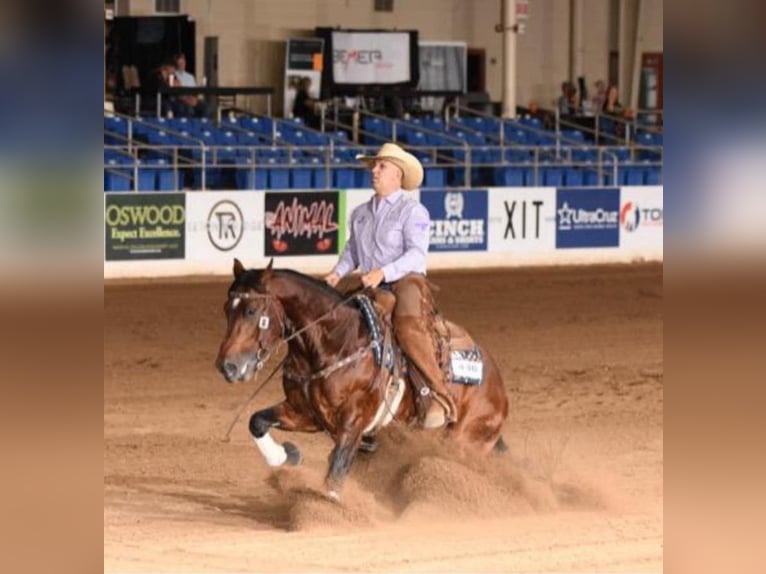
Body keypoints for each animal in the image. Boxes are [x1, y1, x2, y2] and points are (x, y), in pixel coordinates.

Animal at [218, 258, 510, 502]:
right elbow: (256, 421)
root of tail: (498, 386)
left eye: (252, 310)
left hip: (465, 439)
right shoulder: (304, 413)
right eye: (226, 309)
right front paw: (285, 455)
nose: (227, 366)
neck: (336, 343)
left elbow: (335, 475)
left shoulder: (353, 422)